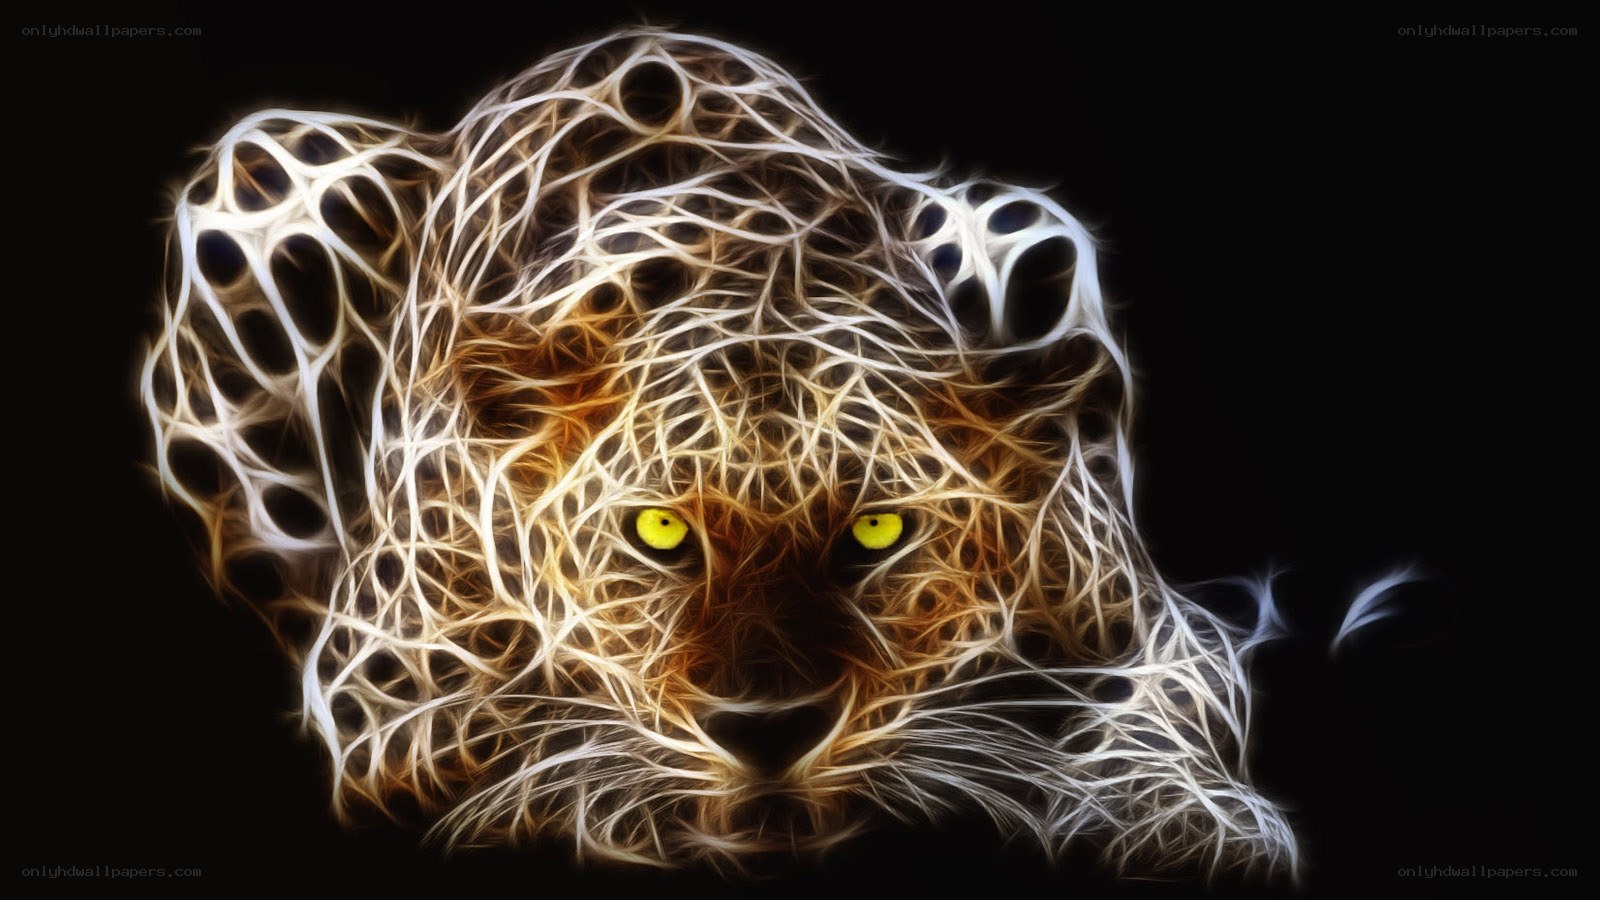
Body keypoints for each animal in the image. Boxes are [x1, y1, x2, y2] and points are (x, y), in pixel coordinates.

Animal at [140, 28, 1299, 880]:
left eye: (878, 531)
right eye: (658, 532)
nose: (770, 732)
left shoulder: (1153, 624)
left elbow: (1162, 710)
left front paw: (1185, 822)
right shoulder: (381, 692)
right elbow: (531, 737)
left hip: (1027, 223)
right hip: (258, 171)